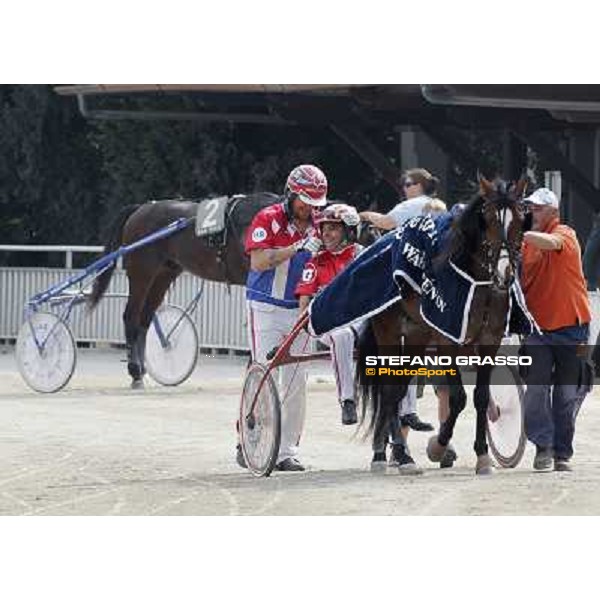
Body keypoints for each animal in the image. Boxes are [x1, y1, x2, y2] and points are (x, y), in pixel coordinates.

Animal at [354, 178, 528, 474]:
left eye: (519, 218)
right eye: (489, 219)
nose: (505, 274)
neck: (477, 283)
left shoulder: (489, 340)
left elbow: (481, 396)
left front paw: (483, 455)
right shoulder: (448, 339)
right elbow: (458, 397)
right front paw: (438, 446)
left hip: (416, 334)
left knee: (397, 388)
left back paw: (399, 453)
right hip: (387, 330)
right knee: (388, 389)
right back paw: (390, 455)